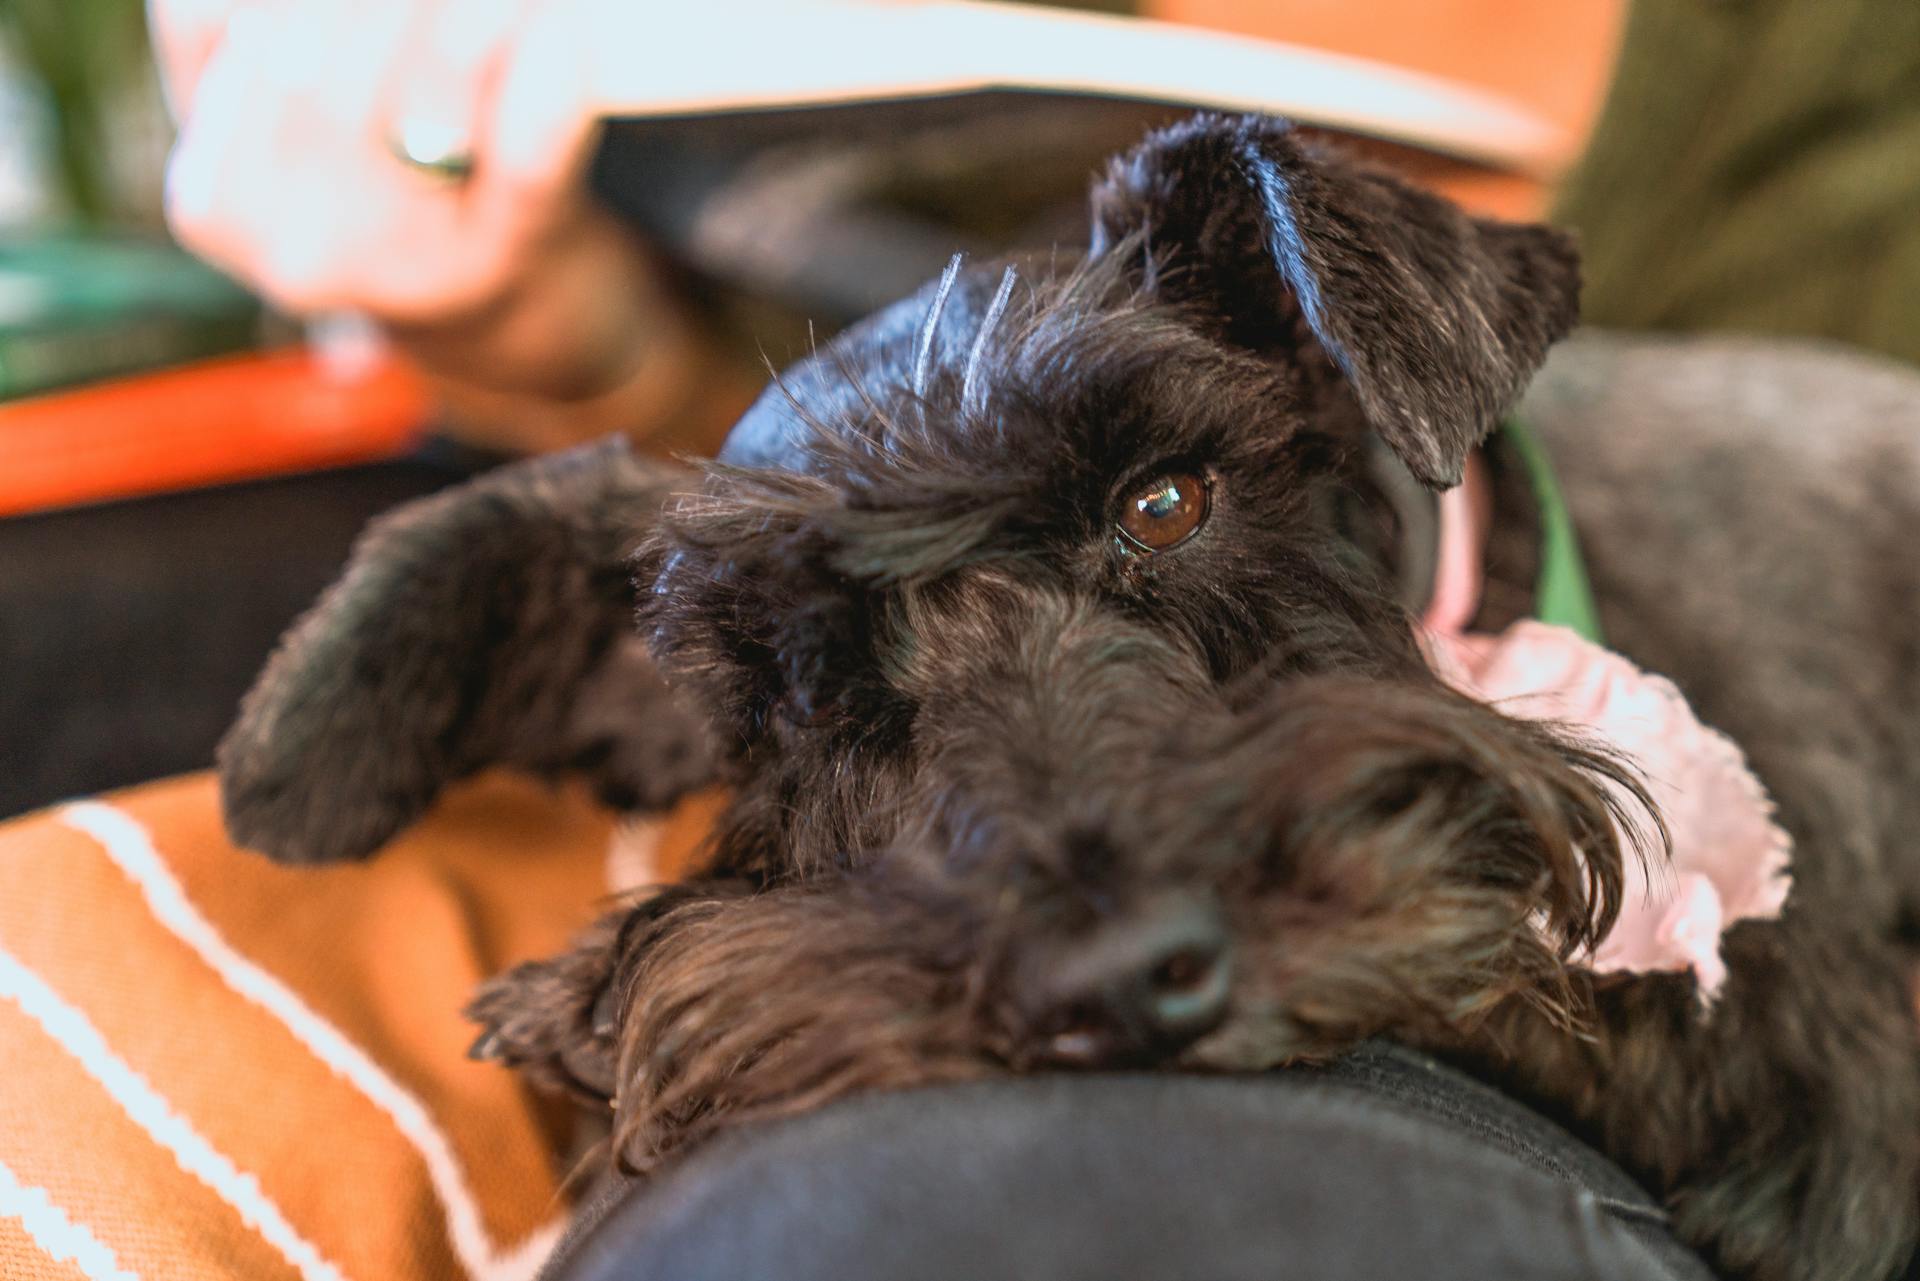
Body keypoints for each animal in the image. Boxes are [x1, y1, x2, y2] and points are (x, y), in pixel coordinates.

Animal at [217, 115, 1920, 1275]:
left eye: (1166, 501)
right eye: (795, 687)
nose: (1111, 975)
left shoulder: (1826, 1101)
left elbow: (1517, 961)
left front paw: (595, 1001)